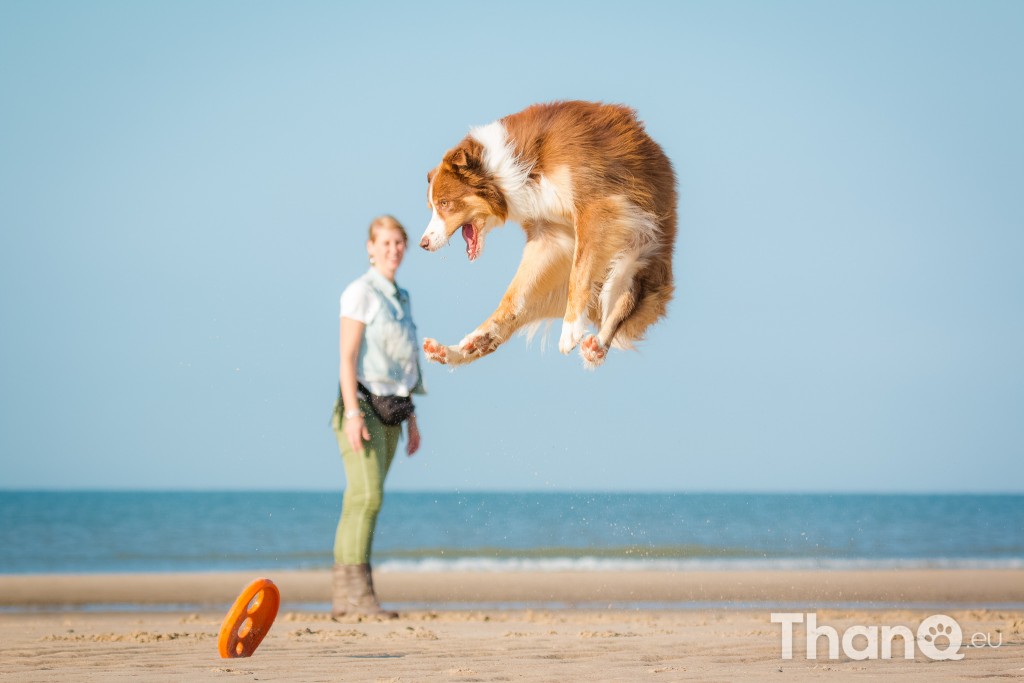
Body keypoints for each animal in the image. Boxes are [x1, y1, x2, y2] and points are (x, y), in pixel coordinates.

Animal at [419, 98, 675, 368]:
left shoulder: (598, 205)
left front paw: (571, 329)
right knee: (510, 308)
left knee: (621, 306)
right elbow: (519, 295)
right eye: (433, 206)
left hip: (635, 257)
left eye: (445, 203)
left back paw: (596, 346)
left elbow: (580, 271)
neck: (515, 162)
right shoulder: (550, 235)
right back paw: (463, 344)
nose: (423, 243)